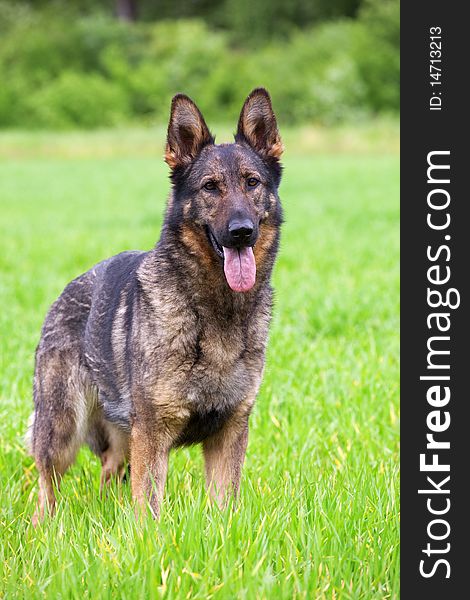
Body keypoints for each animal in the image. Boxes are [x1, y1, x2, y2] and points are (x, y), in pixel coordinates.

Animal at [28, 86, 282, 524]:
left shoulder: (229, 432)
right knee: (47, 486)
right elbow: (148, 510)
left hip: (119, 437)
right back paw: (46, 528)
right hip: (62, 429)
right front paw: (148, 539)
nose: (241, 232)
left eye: (252, 183)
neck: (214, 312)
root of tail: (68, 289)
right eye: (210, 187)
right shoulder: (153, 432)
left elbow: (223, 508)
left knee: (110, 474)